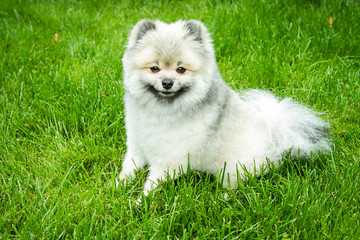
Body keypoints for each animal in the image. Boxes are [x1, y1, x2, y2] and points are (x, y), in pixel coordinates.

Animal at [116, 18, 330, 195]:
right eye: (154, 68)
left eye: (181, 70)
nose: (167, 82)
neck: (161, 110)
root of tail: (273, 133)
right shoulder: (137, 146)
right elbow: (128, 170)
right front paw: (116, 187)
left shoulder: (169, 160)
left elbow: (151, 184)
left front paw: (138, 202)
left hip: (233, 168)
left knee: (235, 184)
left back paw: (225, 197)